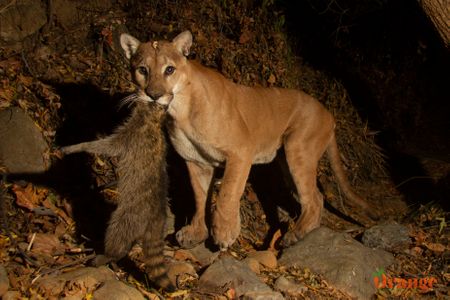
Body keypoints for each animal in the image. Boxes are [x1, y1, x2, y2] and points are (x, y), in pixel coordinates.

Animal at [120, 30, 376, 251]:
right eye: (142, 70)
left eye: (169, 69)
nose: (153, 95)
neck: (180, 109)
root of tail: (330, 115)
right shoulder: (197, 162)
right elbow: (199, 197)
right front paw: (196, 233)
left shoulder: (241, 152)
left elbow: (228, 193)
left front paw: (224, 233)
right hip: (286, 162)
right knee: (318, 197)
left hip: (298, 151)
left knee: (313, 199)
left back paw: (294, 236)